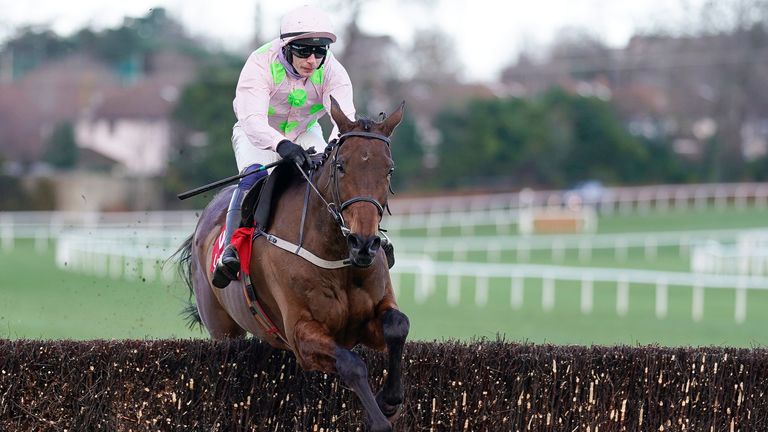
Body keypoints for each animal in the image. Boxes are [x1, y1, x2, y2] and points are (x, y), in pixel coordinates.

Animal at [178, 98, 412, 432]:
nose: (364, 243)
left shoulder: (369, 320)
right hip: (222, 329)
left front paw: (391, 401)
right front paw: (379, 418)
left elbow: (398, 326)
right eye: (341, 166)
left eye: (389, 169)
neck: (336, 255)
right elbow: (352, 364)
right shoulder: (302, 334)